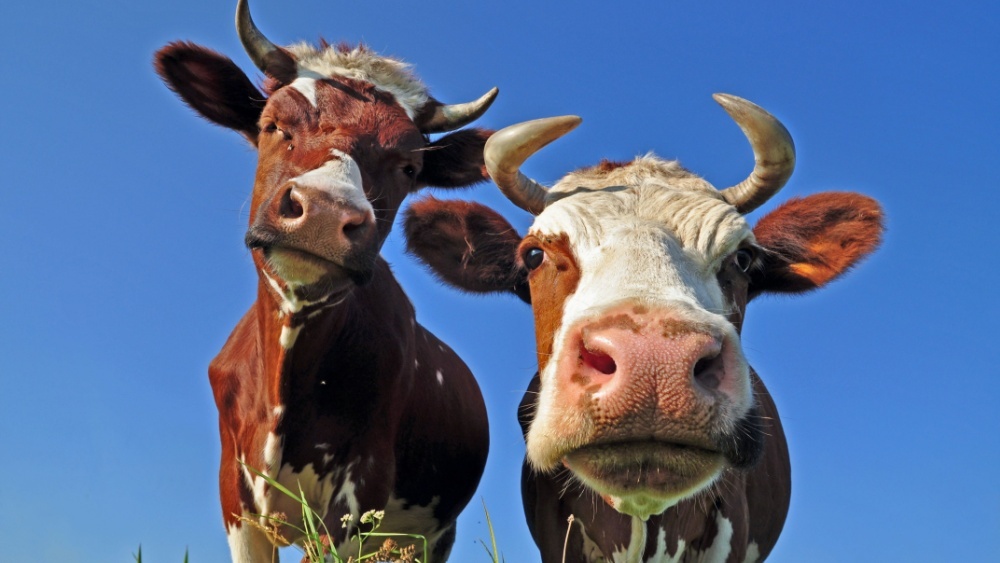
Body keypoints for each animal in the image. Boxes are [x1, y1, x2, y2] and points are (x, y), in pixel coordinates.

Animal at [153, 1, 494, 560]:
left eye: (409, 166)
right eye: (273, 124)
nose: (325, 212)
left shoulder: (360, 492)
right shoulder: (235, 498)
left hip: (430, 535)